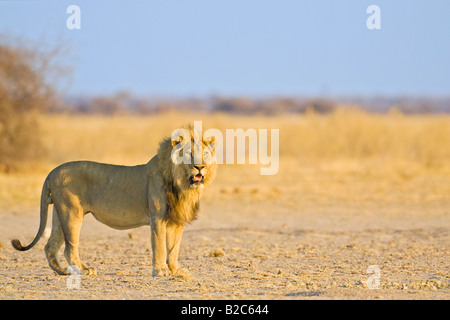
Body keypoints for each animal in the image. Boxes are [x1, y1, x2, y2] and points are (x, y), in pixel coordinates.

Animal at [9, 126, 216, 276]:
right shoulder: (158, 217)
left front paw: (175, 270)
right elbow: (159, 247)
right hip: (71, 212)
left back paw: (64, 272)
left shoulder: (176, 220)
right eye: (188, 154)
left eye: (205, 154)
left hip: (59, 214)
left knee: (50, 247)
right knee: (69, 248)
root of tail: (52, 172)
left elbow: (173, 248)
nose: (200, 167)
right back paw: (82, 270)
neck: (182, 185)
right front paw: (160, 271)